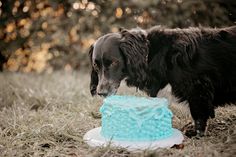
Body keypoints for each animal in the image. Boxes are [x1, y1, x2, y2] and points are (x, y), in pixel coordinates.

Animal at [88, 25, 236, 136]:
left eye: (113, 62)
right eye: (95, 65)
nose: (101, 93)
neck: (152, 53)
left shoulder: (198, 88)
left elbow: (199, 116)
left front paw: (196, 134)